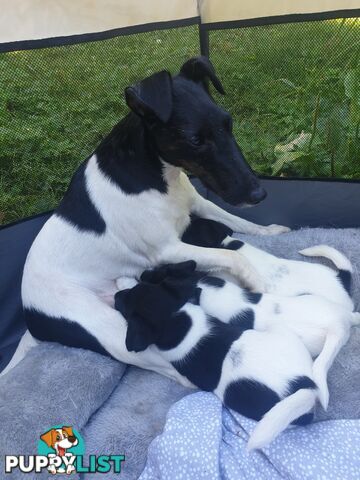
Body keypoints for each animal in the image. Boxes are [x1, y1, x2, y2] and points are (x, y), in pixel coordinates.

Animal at [3, 57, 290, 378]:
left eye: (228, 125)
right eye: (195, 140)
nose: (258, 194)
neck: (158, 176)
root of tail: (30, 318)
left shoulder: (197, 203)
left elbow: (237, 221)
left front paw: (269, 231)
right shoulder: (167, 249)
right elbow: (234, 256)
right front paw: (259, 284)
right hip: (111, 331)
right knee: (166, 365)